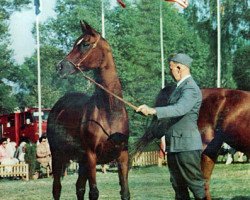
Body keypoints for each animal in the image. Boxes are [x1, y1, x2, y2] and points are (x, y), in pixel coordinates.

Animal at [46, 21, 130, 199]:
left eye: (85, 44)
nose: (60, 67)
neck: (110, 112)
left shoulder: (123, 156)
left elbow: (125, 192)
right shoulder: (91, 156)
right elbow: (94, 192)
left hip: (81, 162)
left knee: (79, 187)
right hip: (58, 156)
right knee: (57, 188)